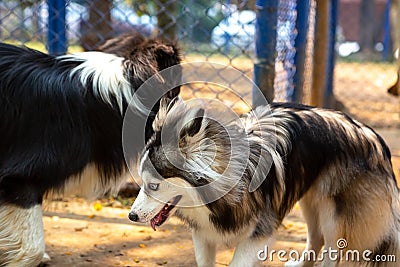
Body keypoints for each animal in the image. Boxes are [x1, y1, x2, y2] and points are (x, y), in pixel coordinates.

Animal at [129, 99, 400, 267]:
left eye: (154, 185)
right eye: (143, 183)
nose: (131, 216)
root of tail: (373, 136)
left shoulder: (257, 236)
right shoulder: (203, 234)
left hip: (333, 213)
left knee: (334, 249)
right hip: (310, 203)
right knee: (317, 238)